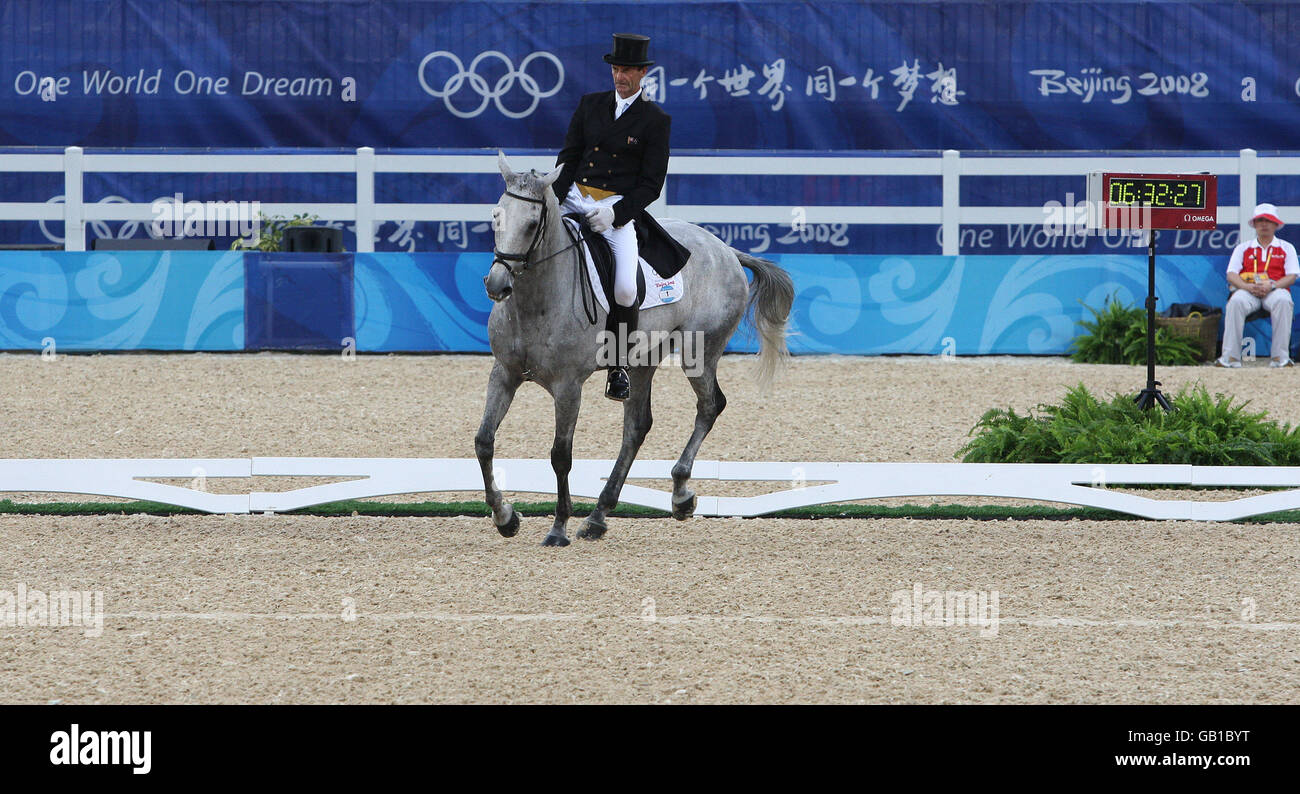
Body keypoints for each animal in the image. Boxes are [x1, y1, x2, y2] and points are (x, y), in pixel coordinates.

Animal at [478, 150, 790, 545]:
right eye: (496, 216)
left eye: (533, 224)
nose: (497, 284)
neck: (536, 300)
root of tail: (725, 249)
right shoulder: (504, 373)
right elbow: (484, 441)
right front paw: (505, 517)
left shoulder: (568, 387)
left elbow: (560, 455)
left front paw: (558, 527)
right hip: (643, 361)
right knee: (637, 427)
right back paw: (599, 515)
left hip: (700, 352)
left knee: (709, 405)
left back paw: (680, 495)